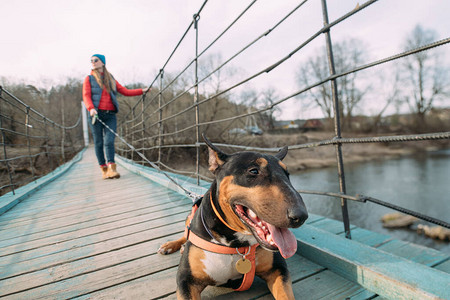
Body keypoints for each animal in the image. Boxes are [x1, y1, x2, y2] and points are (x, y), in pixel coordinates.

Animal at [156, 135, 308, 298]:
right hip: (188, 218)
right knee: (186, 233)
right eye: (254, 171)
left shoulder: (278, 270)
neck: (236, 245)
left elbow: (285, 295)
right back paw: (172, 245)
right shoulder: (186, 280)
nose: (301, 216)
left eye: (287, 174)